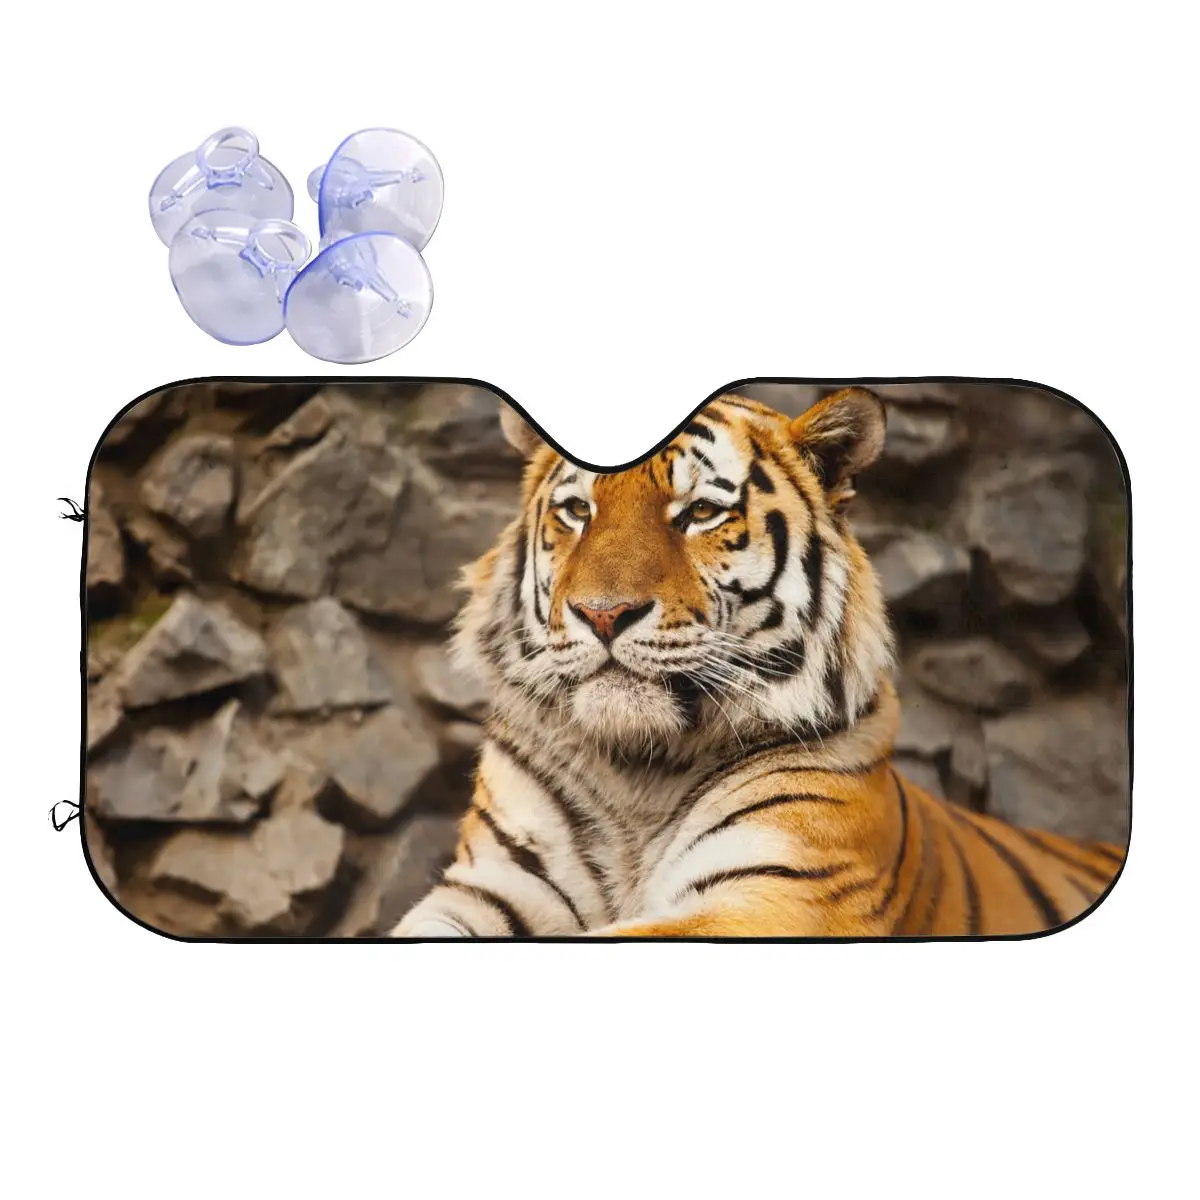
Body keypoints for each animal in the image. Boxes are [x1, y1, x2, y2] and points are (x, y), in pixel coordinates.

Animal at [391, 387, 1126, 938]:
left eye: (700, 513)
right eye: (577, 510)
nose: (602, 614)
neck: (636, 770)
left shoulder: (779, 894)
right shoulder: (488, 885)